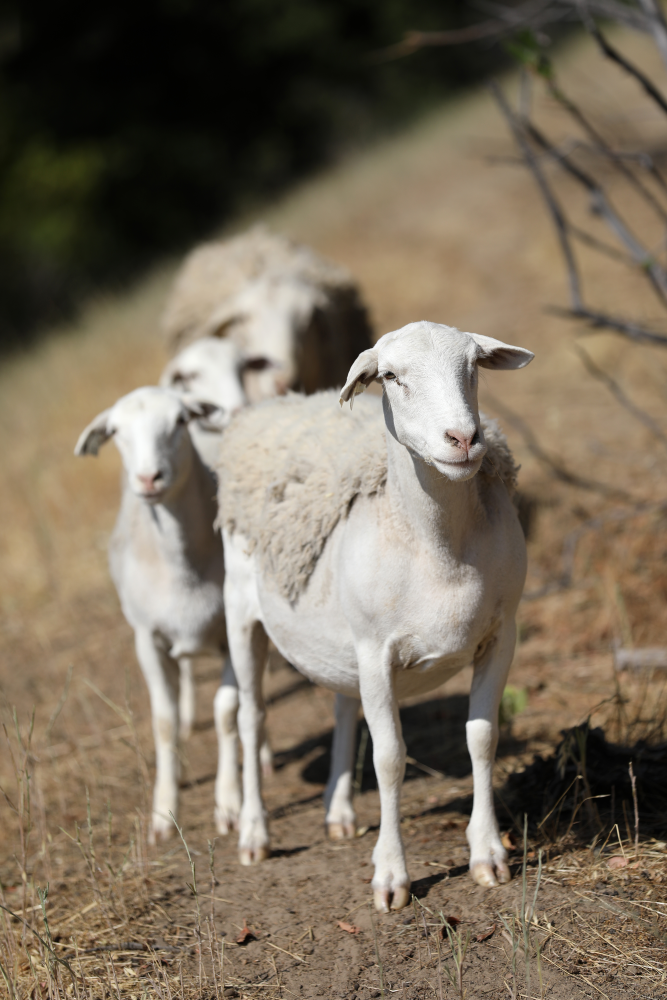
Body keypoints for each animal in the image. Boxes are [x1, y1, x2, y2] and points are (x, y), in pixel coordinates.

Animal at [73, 386, 250, 840]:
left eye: (180, 421)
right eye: (116, 432)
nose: (148, 479)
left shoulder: (230, 631)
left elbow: (227, 712)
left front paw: (229, 804)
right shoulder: (146, 639)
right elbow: (164, 723)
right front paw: (164, 814)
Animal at [217, 318, 536, 908]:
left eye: (474, 366)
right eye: (389, 376)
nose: (463, 439)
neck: (438, 548)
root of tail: (275, 407)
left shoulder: (500, 634)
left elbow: (483, 738)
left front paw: (488, 855)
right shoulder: (375, 652)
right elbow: (389, 759)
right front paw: (392, 877)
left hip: (341, 640)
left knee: (342, 706)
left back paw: (338, 812)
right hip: (242, 612)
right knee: (252, 718)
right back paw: (254, 832)